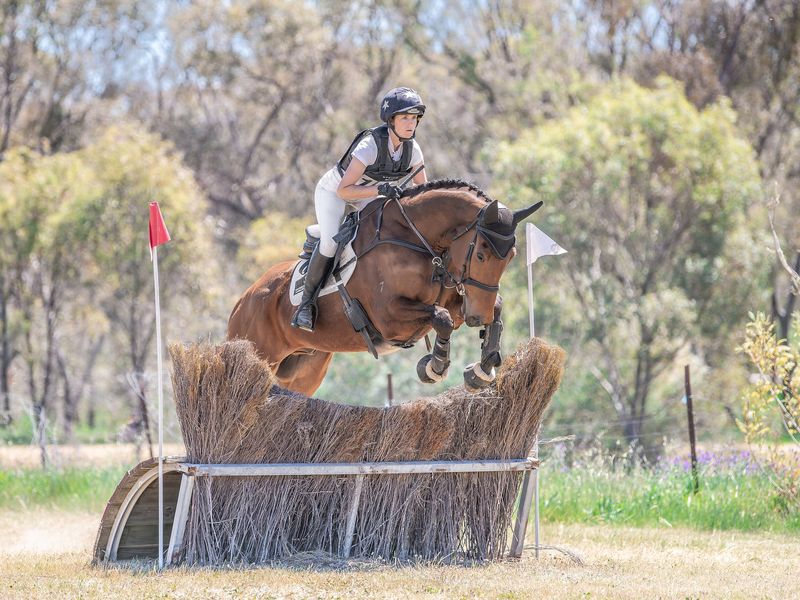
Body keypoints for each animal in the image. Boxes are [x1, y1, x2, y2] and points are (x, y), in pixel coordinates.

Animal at [227, 179, 541, 396]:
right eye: (481, 255)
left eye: (511, 256)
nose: (478, 318)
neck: (416, 240)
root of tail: (243, 299)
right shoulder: (388, 318)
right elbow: (441, 318)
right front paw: (435, 366)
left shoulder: (457, 301)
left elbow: (491, 308)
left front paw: (482, 368)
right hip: (259, 354)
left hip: (303, 370)